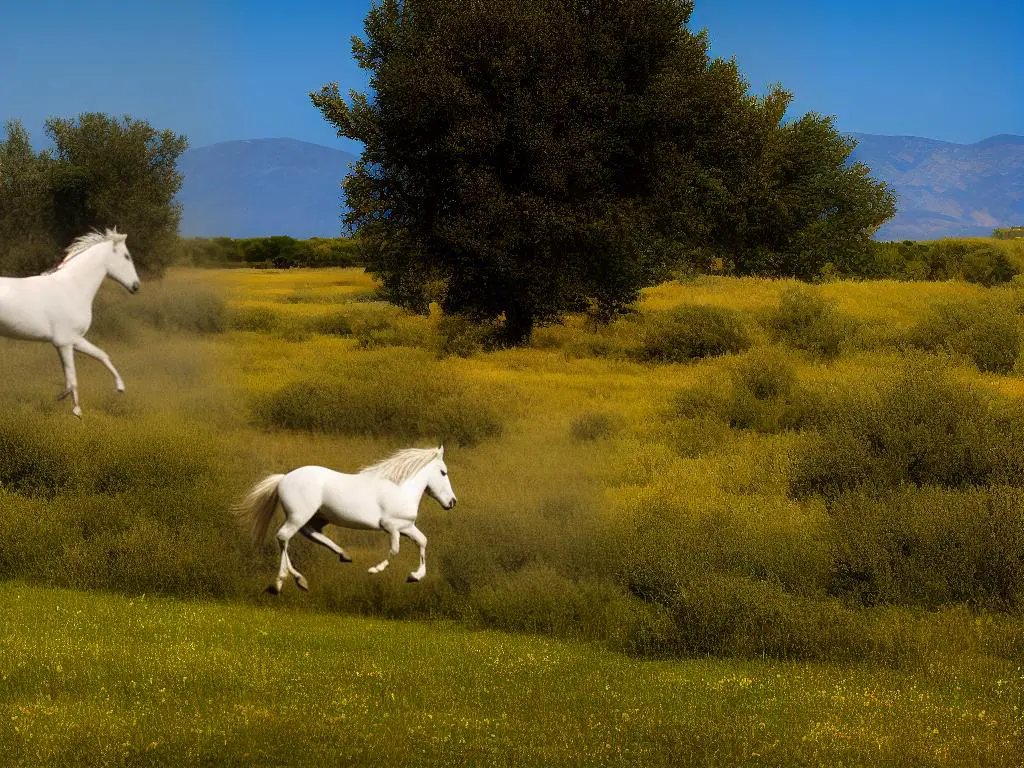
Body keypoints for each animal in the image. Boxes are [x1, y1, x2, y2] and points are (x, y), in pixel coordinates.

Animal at [0, 228, 140, 417]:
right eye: (127, 256)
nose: (136, 286)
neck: (74, 288)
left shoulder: (75, 340)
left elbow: (101, 355)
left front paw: (120, 387)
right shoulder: (64, 342)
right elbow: (72, 378)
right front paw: (76, 411)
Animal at [234, 444, 458, 593]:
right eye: (443, 472)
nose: (452, 502)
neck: (400, 487)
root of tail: (283, 479)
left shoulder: (407, 526)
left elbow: (422, 541)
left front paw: (414, 576)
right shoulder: (391, 526)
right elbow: (394, 549)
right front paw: (375, 569)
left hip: (317, 516)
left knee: (310, 533)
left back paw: (342, 556)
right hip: (298, 516)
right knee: (284, 537)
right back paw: (287, 581)